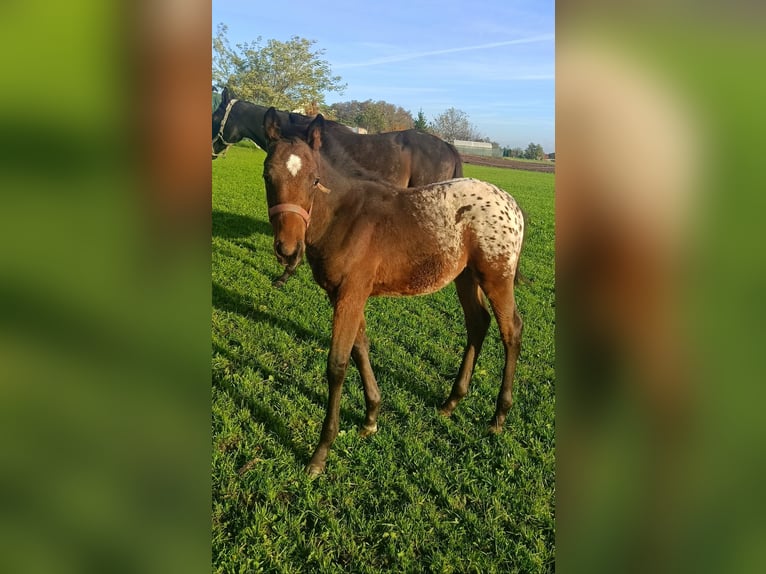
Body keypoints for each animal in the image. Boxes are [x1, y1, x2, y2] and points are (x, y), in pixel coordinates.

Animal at [262, 107, 525, 476]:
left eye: (314, 179)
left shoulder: (350, 294)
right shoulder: (344, 295)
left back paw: (499, 416)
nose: (288, 250)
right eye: (267, 175)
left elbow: (337, 364)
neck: (345, 217)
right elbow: (360, 349)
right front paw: (371, 418)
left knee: (510, 330)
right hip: (465, 277)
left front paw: (320, 454)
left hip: (496, 276)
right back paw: (451, 402)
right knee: (478, 323)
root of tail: (512, 205)